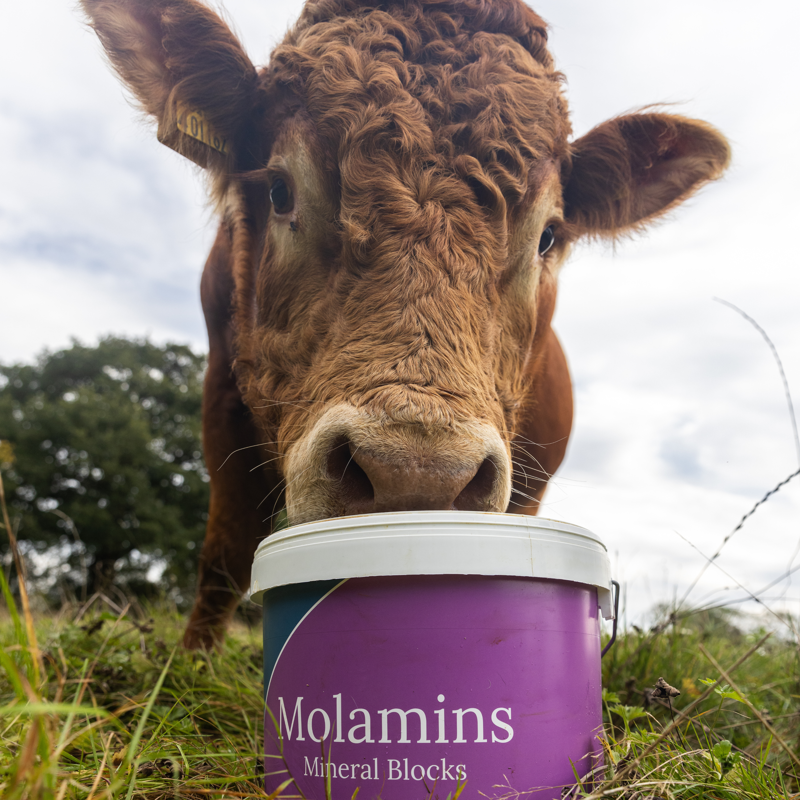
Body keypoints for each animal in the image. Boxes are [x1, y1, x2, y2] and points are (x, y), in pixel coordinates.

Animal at [81, 0, 730, 649]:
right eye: (279, 190)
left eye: (549, 235)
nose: (415, 472)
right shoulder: (221, 391)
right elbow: (225, 553)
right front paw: (192, 658)